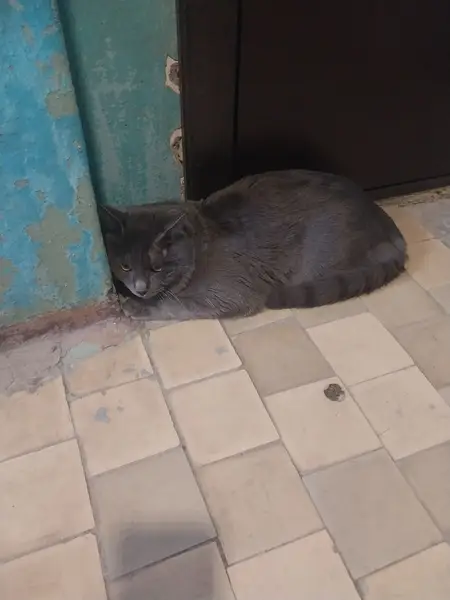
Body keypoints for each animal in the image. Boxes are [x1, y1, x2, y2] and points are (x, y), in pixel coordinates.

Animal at [99, 169, 406, 321]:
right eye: (125, 266)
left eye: (156, 267)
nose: (140, 288)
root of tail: (388, 225)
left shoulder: (227, 295)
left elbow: (173, 305)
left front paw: (136, 307)